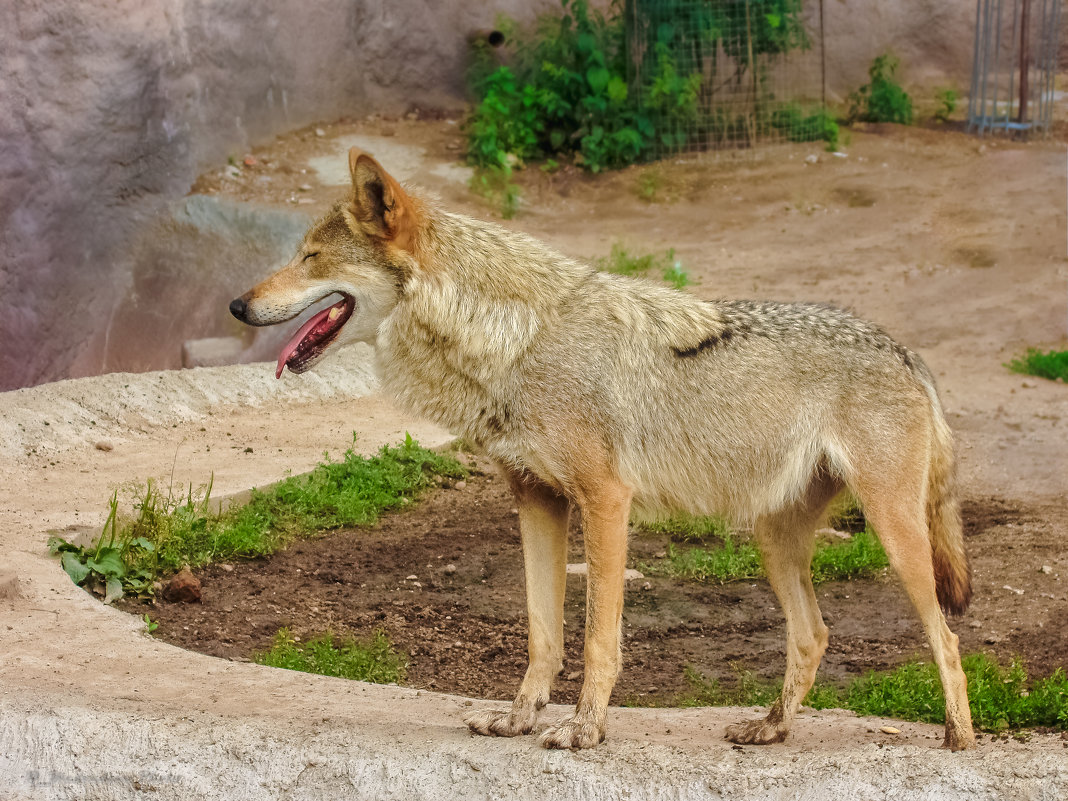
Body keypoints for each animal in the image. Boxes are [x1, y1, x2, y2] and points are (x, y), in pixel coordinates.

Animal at [231, 149, 978, 751]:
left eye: (310, 257)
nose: (238, 305)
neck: (515, 342)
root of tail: (905, 350)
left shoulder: (605, 501)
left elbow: (598, 639)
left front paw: (584, 730)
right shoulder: (535, 500)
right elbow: (542, 632)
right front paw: (518, 719)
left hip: (893, 534)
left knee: (945, 633)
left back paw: (958, 738)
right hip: (772, 538)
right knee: (814, 633)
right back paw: (771, 728)